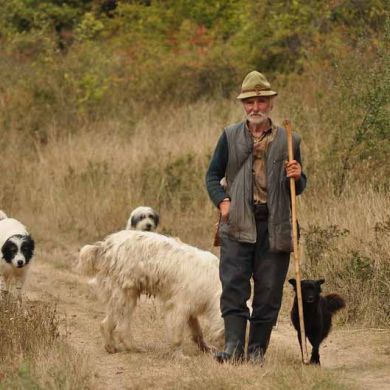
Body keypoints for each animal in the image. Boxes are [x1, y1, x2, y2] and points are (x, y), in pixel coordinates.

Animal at [78, 232, 224, 356]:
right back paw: (131, 347)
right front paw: (179, 355)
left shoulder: (190, 310)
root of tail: (105, 246)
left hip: (121, 296)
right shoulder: (179, 307)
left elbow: (198, 332)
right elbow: (177, 336)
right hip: (126, 296)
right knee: (120, 327)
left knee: (106, 324)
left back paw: (112, 347)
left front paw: (206, 348)